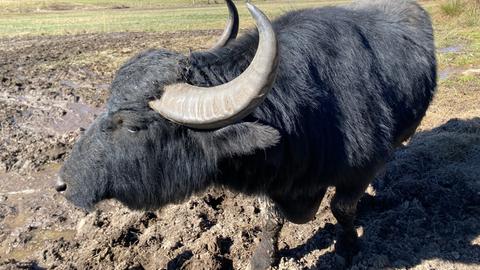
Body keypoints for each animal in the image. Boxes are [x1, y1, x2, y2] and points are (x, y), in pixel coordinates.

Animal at [55, 0, 436, 268]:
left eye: (133, 125)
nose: (62, 184)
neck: (309, 110)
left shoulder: (360, 170)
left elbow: (342, 209)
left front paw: (350, 247)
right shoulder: (272, 176)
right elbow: (271, 218)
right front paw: (264, 258)